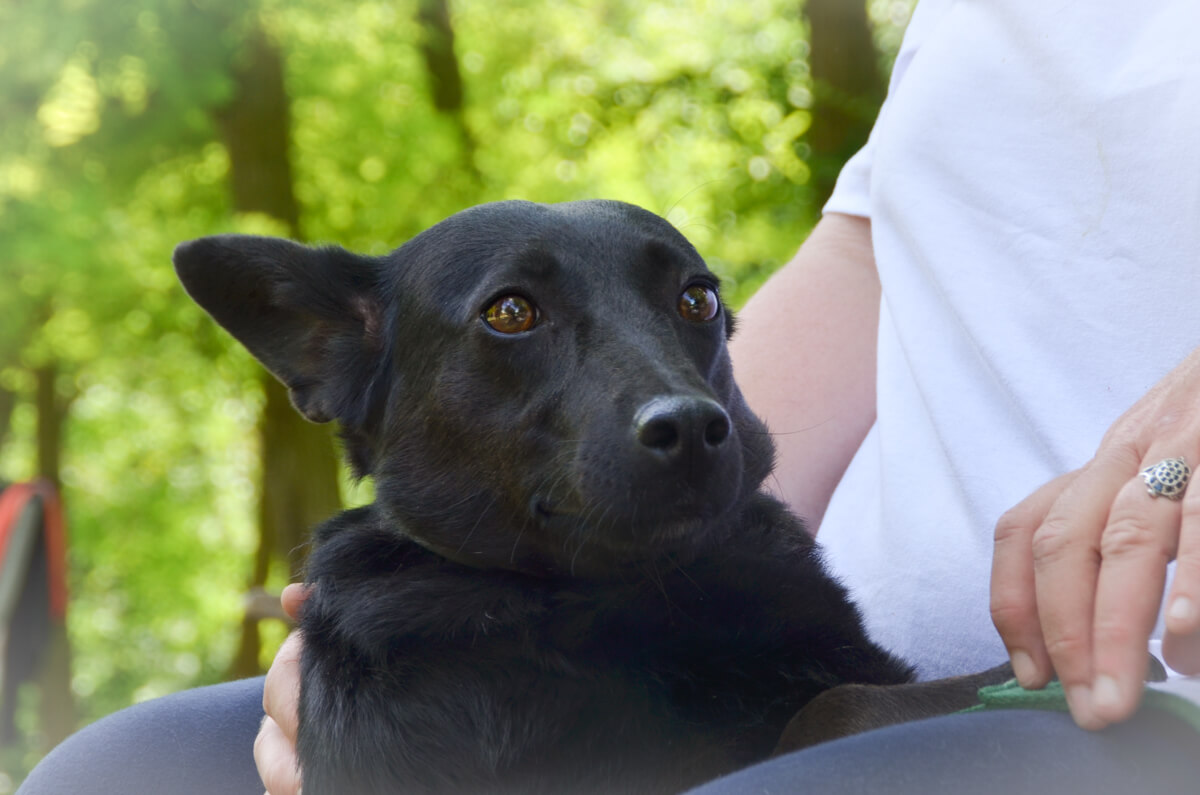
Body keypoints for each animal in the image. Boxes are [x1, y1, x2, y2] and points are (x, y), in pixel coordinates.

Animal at [174, 200, 1006, 794]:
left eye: (698, 299)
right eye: (511, 311)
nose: (692, 427)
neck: (621, 595)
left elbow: (844, 700)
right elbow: (840, 708)